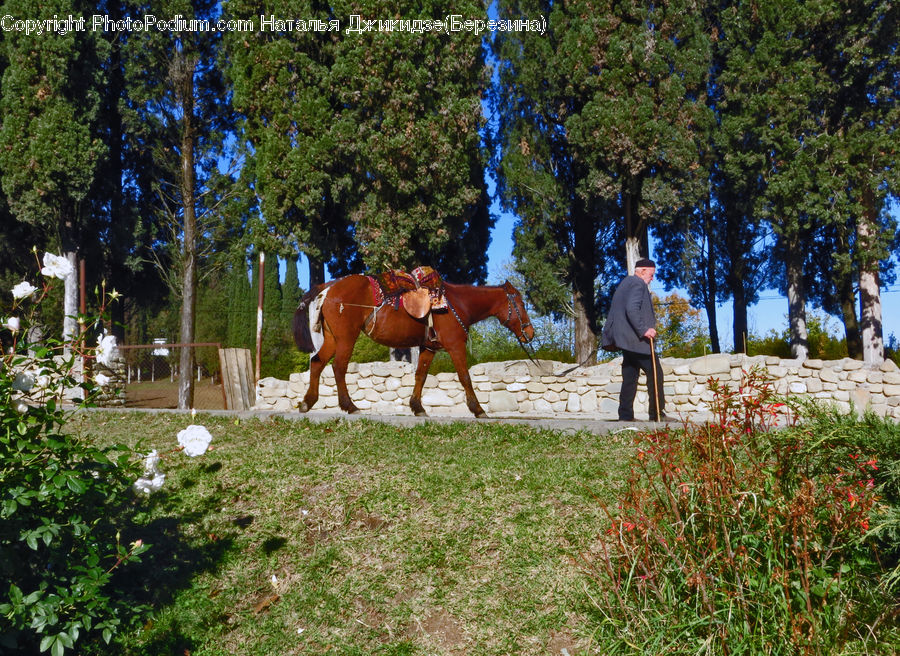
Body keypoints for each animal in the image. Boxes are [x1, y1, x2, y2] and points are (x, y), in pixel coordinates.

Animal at [292, 274, 535, 418]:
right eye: (521, 304)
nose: (530, 333)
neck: (457, 303)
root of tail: (329, 287)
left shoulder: (428, 348)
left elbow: (421, 376)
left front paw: (417, 407)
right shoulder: (455, 346)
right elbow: (465, 376)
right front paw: (478, 409)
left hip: (332, 339)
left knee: (317, 362)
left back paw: (308, 402)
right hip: (346, 338)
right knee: (338, 367)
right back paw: (350, 406)